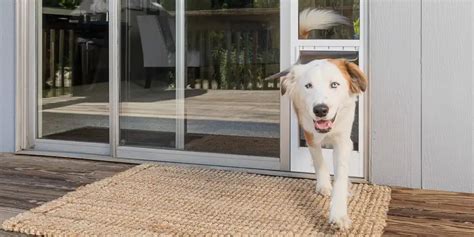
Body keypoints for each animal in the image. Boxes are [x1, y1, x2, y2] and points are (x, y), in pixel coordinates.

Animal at [276, 8, 368, 230]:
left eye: (334, 84)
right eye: (308, 86)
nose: (320, 110)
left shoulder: (343, 141)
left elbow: (341, 175)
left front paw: (339, 214)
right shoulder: (311, 134)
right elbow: (319, 161)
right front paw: (324, 184)